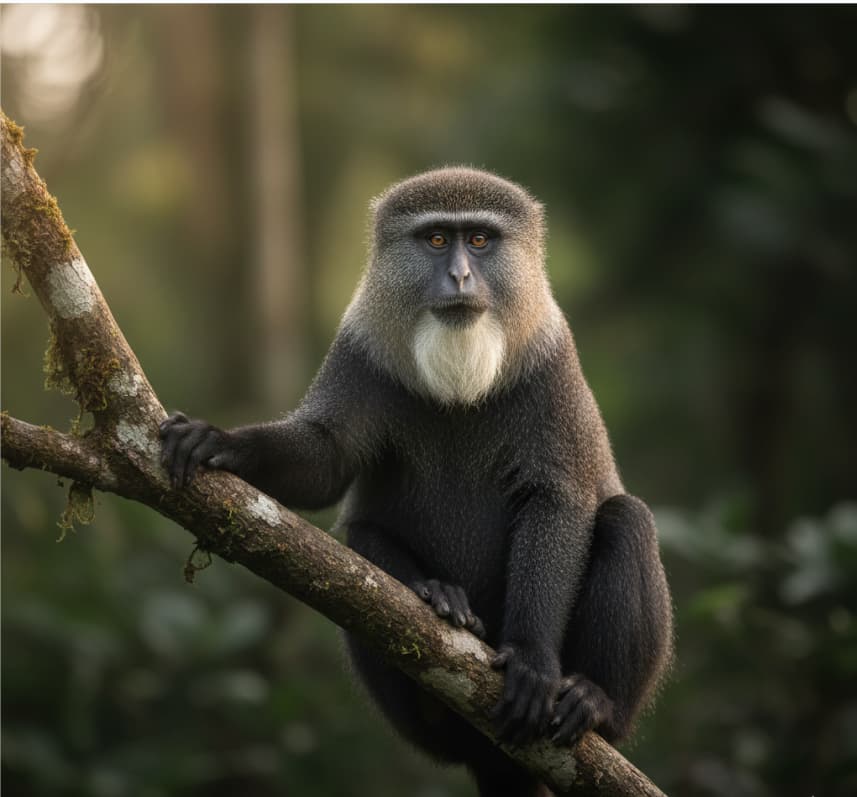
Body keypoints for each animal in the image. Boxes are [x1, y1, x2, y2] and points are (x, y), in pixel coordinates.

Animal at [160, 167, 673, 797]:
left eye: (478, 240)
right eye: (434, 240)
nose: (459, 275)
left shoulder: (552, 362)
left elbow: (561, 499)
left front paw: (532, 660)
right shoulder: (359, 347)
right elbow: (326, 461)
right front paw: (219, 442)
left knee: (627, 519)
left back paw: (596, 704)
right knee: (360, 534)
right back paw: (440, 599)